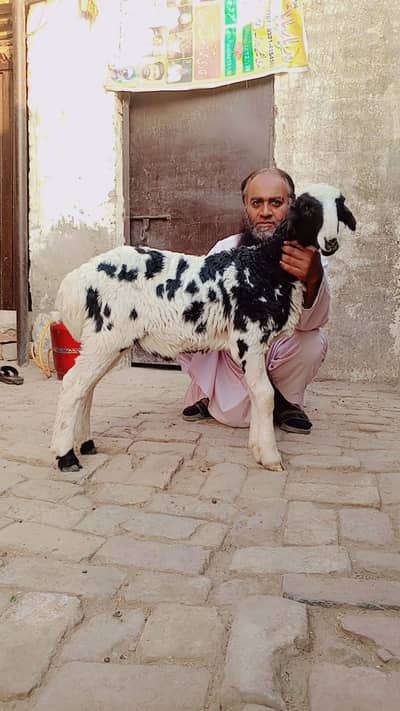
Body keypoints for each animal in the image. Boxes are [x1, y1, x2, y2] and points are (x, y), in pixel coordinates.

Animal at [51, 185, 356, 472]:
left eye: (339, 206)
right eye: (307, 208)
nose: (330, 243)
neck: (266, 265)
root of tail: (76, 280)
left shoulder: (255, 343)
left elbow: (257, 393)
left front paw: (258, 448)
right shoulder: (249, 338)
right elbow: (264, 394)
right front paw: (270, 457)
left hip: (108, 340)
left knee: (87, 387)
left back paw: (86, 444)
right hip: (107, 335)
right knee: (73, 384)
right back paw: (67, 457)